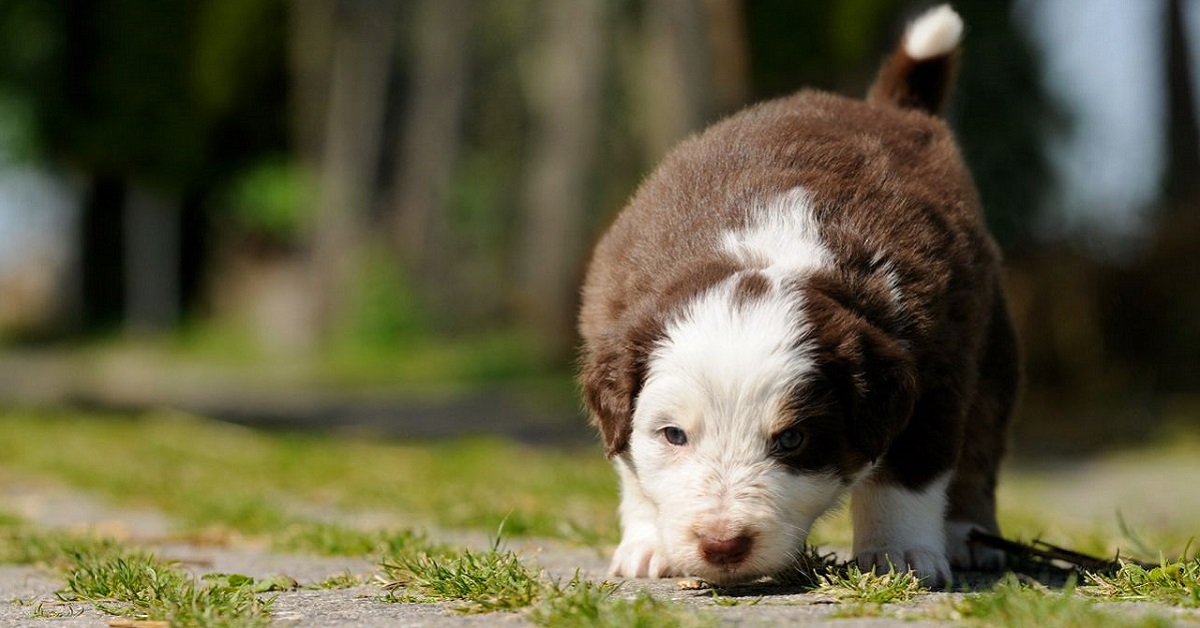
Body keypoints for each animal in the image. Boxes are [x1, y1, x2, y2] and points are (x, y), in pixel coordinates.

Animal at [576, 3, 1017, 590]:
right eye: (674, 435)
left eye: (792, 440)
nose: (722, 546)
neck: (769, 249)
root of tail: (887, 110)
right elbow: (632, 468)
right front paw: (647, 546)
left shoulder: (934, 371)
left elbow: (906, 475)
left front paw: (899, 553)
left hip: (993, 352)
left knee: (979, 450)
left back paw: (971, 537)